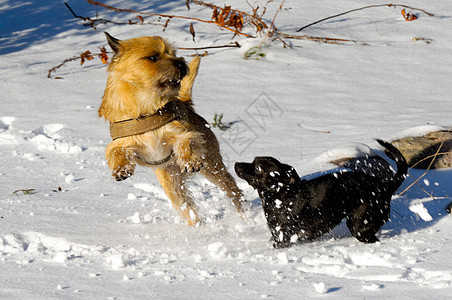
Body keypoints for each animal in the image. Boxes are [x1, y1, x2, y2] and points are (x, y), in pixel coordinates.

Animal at [99, 33, 244, 225]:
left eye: (173, 53)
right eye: (153, 57)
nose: (181, 63)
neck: (147, 108)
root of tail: (187, 103)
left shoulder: (183, 133)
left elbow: (185, 141)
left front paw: (189, 160)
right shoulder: (126, 142)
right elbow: (114, 151)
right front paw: (121, 169)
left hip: (213, 166)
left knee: (233, 190)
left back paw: (244, 217)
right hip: (172, 185)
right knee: (187, 208)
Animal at [235, 139, 408, 247]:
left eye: (258, 167)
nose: (237, 163)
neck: (280, 195)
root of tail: (385, 186)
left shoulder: (282, 238)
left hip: (359, 225)